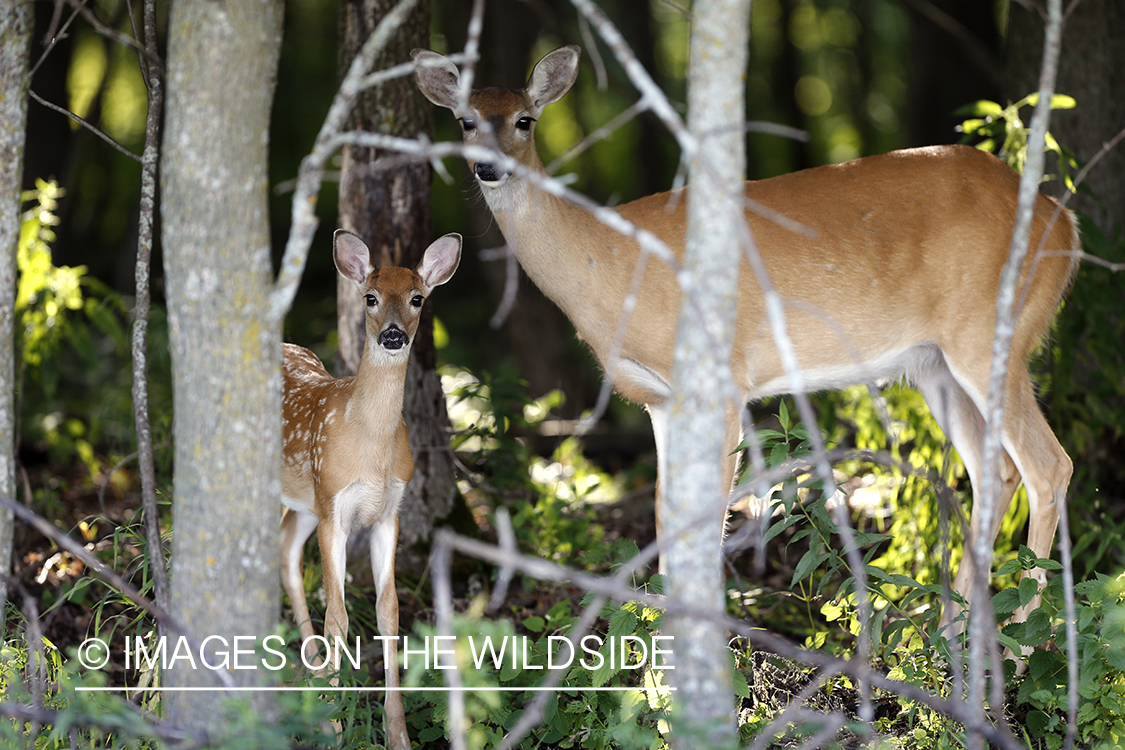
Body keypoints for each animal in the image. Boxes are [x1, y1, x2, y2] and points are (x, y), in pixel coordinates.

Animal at [281, 229, 461, 750]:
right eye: (371, 298)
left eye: (418, 298)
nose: (394, 334)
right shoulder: (334, 508)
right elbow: (338, 615)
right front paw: (336, 727)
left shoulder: (387, 513)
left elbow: (389, 612)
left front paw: (396, 732)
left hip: (304, 503)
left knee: (285, 549)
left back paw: (313, 675)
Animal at [414, 45, 1080, 620]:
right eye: (465, 121)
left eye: (524, 121)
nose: (488, 167)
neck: (610, 265)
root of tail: (1065, 223)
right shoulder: (659, 398)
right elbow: (665, 516)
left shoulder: (724, 377)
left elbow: (709, 517)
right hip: (934, 363)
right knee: (996, 470)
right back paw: (952, 631)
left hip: (991, 331)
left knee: (1049, 465)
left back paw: (1022, 641)